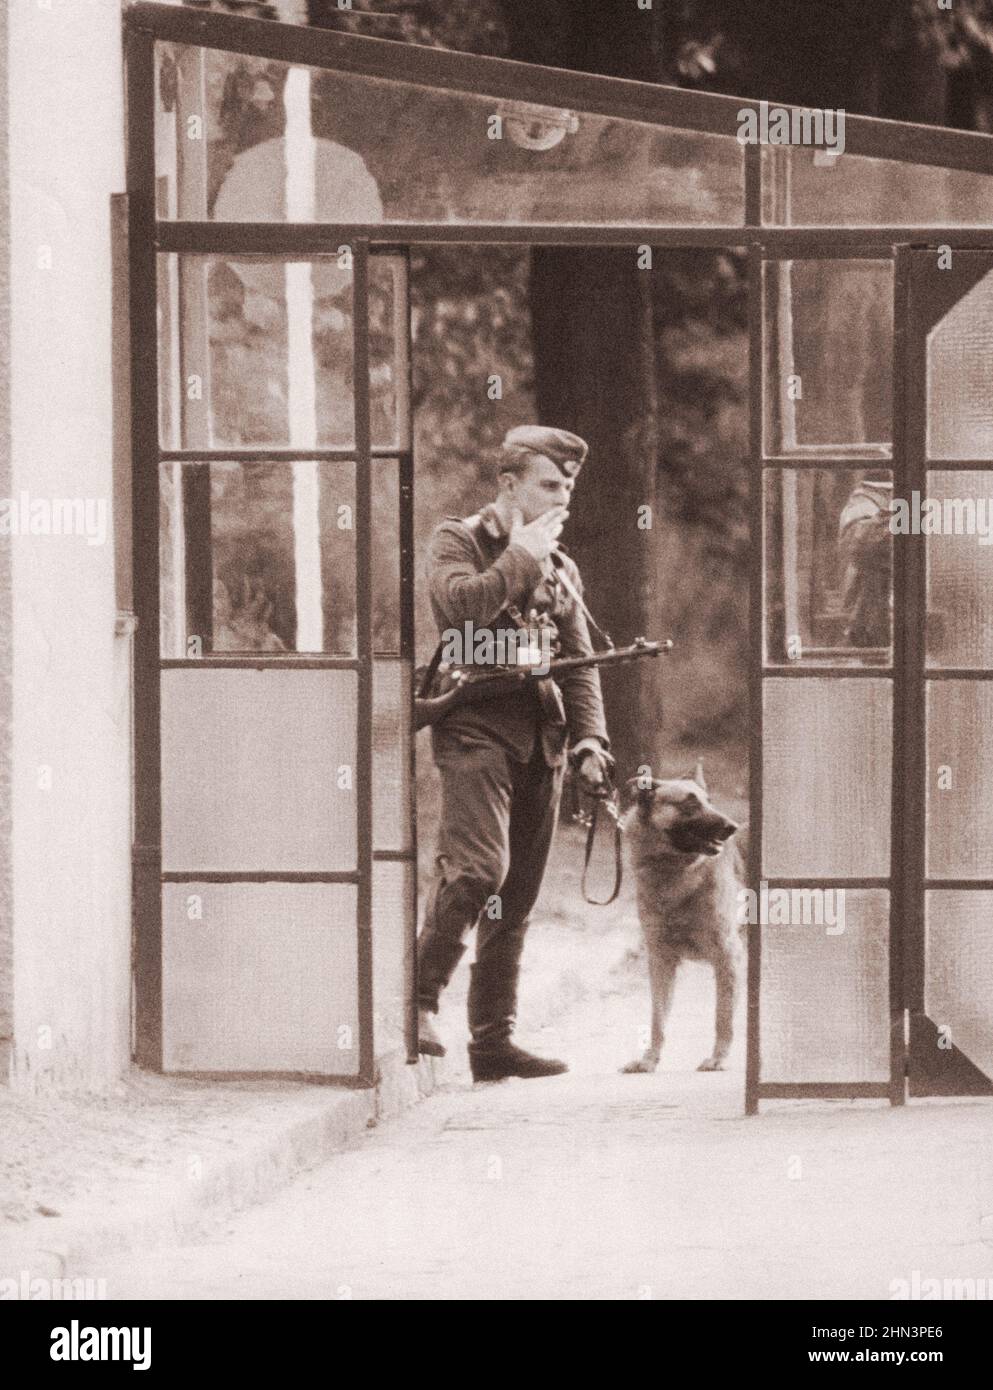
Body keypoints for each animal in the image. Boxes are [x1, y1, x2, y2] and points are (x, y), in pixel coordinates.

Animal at [617, 761, 745, 1073]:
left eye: (709, 800)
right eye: (690, 804)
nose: (733, 827)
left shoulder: (728, 957)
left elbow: (723, 1017)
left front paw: (718, 1058)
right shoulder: (661, 960)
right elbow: (658, 1019)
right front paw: (649, 1059)